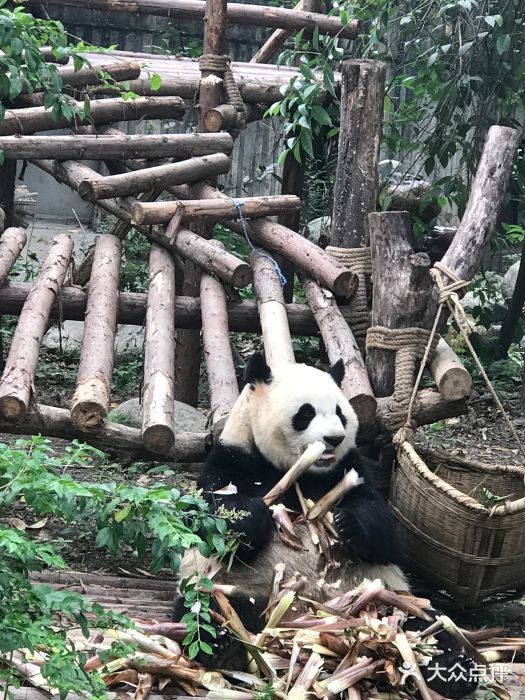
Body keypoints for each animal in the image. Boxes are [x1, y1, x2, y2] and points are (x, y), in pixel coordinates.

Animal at [176, 356, 474, 700]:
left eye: (340, 412)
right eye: (306, 413)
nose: (334, 438)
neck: (301, 471)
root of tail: (309, 618)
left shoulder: (350, 469)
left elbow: (385, 533)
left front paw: (348, 524)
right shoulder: (231, 459)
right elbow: (209, 523)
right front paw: (256, 515)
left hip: (383, 595)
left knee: (428, 624)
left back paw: (452, 669)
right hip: (242, 590)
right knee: (208, 612)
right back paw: (220, 647)